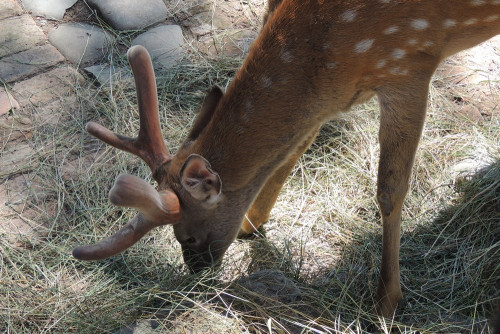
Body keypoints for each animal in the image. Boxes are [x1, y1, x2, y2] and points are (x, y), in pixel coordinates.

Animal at [72, 0, 500, 318]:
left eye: (188, 235)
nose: (196, 271)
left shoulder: (408, 61)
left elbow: (390, 190)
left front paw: (387, 300)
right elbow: (296, 147)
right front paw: (252, 222)